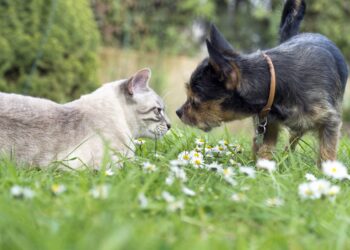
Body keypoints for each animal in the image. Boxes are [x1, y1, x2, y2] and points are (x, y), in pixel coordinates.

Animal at [176, 0, 348, 163]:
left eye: (195, 101)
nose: (178, 112)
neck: (274, 80)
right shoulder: (267, 126)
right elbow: (265, 151)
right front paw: (262, 169)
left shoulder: (330, 122)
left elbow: (327, 151)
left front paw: (325, 171)